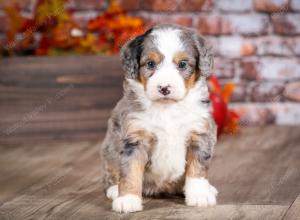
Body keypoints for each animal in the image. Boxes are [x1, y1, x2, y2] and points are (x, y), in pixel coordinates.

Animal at [101, 24, 218, 213]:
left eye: (182, 64)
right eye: (150, 63)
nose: (164, 88)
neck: (167, 109)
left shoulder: (200, 133)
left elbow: (197, 168)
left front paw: (200, 195)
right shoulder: (134, 138)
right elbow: (130, 170)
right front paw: (127, 199)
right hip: (108, 149)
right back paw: (114, 190)